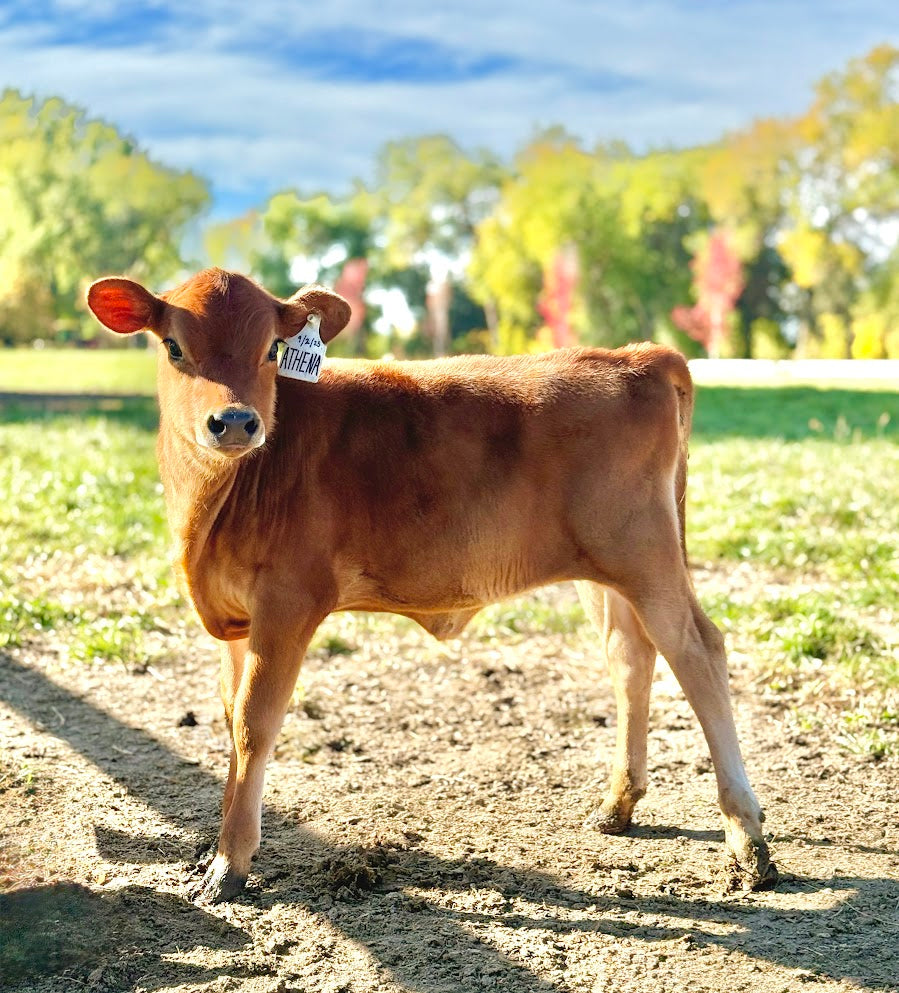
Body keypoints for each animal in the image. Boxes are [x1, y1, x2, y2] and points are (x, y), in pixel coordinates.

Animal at [87, 268, 777, 903]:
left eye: (271, 349)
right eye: (174, 346)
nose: (234, 422)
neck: (212, 504)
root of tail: (637, 356)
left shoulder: (288, 602)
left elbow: (255, 724)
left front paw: (230, 864)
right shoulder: (235, 618)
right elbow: (230, 720)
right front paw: (219, 846)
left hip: (647, 556)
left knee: (698, 651)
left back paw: (748, 839)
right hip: (604, 572)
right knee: (631, 656)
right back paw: (618, 804)